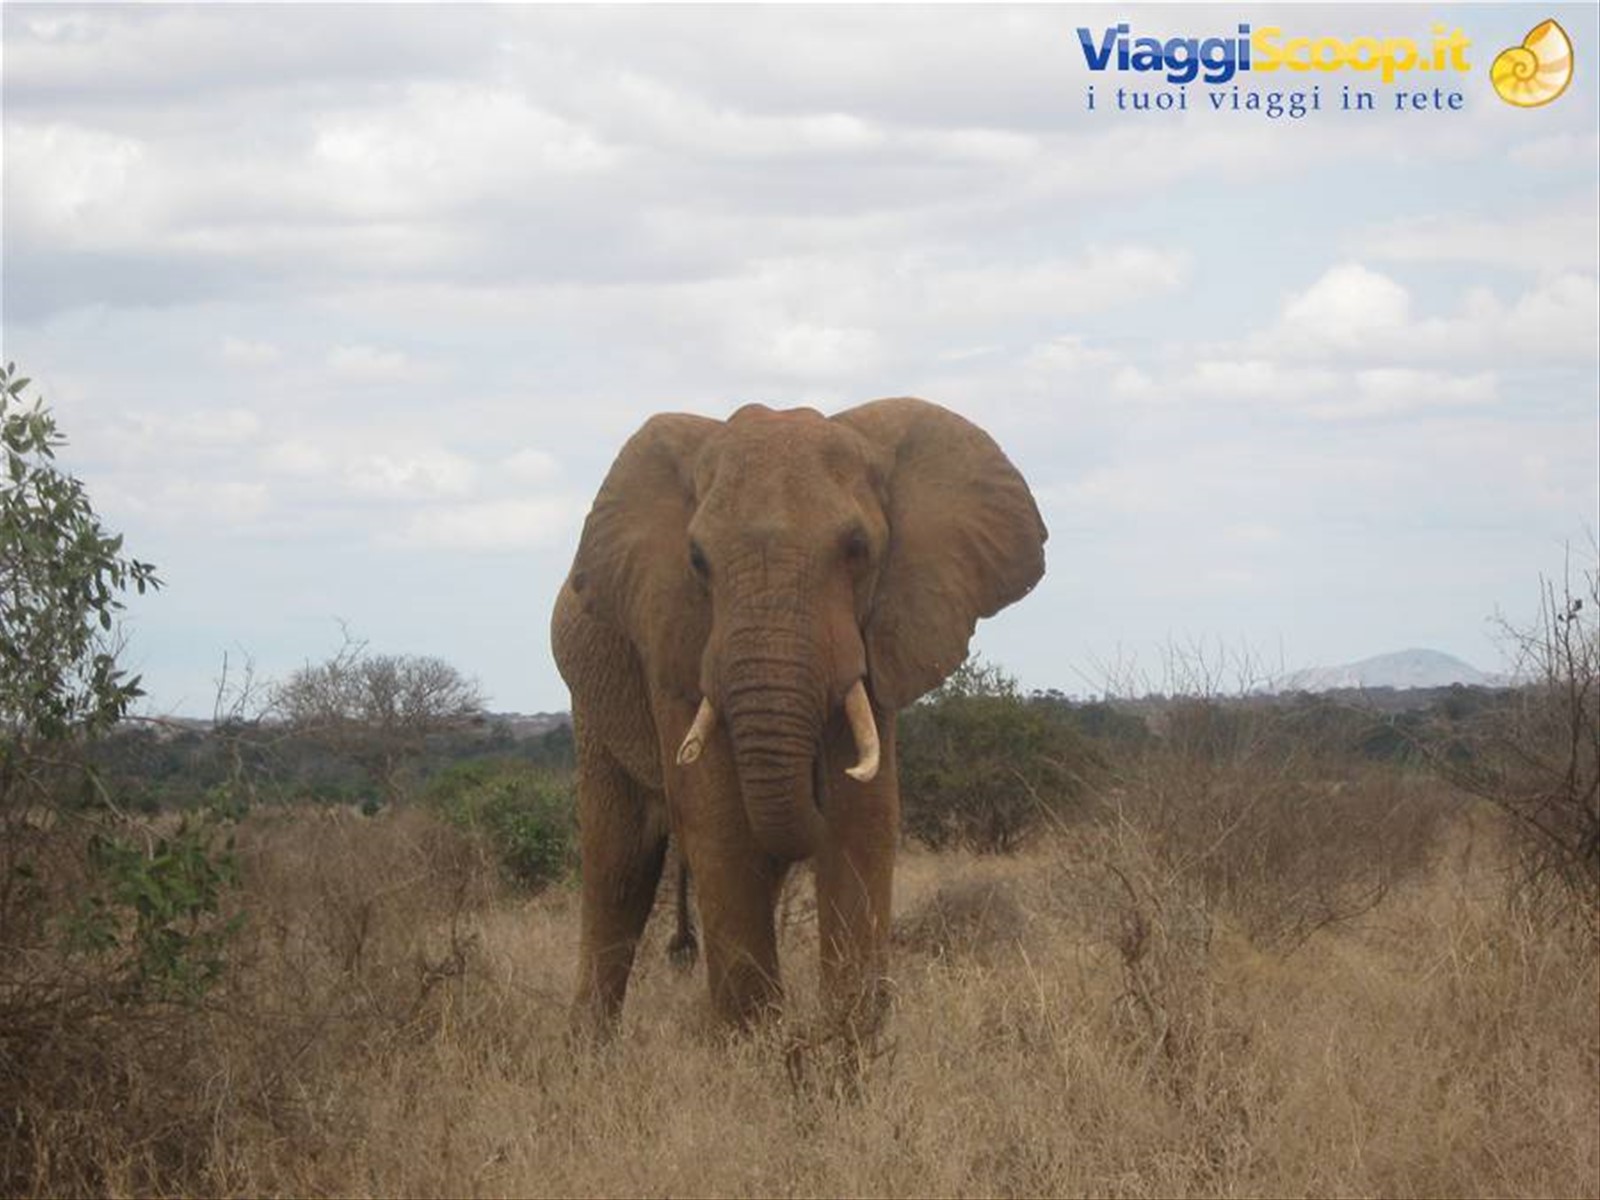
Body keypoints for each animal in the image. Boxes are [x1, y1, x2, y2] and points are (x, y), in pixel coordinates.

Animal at [552, 397, 1046, 1040]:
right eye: (696, 560)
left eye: (858, 548)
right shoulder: (673, 638)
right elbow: (716, 816)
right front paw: (755, 1045)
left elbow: (864, 816)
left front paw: (844, 1040)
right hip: (592, 705)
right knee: (618, 868)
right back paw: (589, 1048)